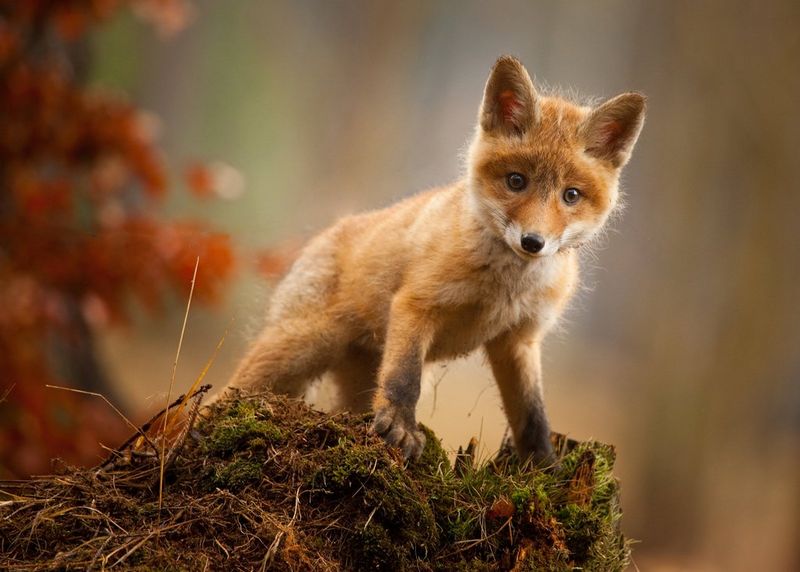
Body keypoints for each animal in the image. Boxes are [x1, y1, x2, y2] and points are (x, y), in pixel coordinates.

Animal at [224, 55, 645, 464]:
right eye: (516, 181)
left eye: (571, 195)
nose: (532, 242)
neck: (504, 287)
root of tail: (325, 234)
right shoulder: (417, 304)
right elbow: (404, 379)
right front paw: (400, 429)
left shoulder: (518, 340)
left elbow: (533, 416)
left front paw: (543, 468)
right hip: (298, 349)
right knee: (227, 394)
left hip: (353, 379)